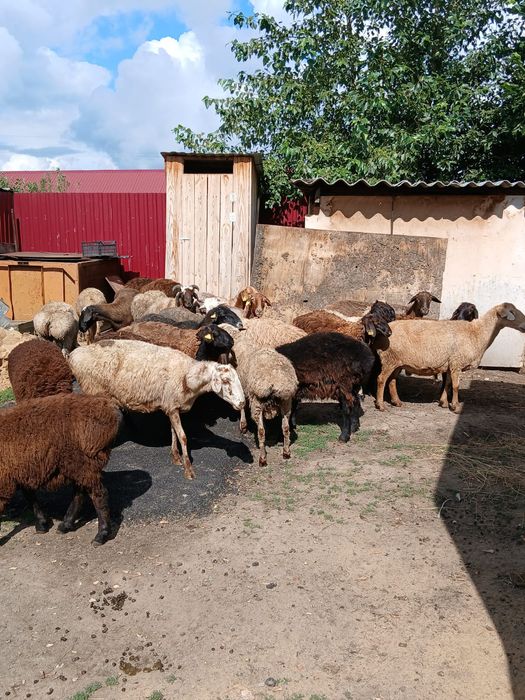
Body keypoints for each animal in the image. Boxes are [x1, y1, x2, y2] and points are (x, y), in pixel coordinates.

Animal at [0, 393, 122, 545]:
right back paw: (66, 524)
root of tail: (110, 409)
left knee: (99, 494)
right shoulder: (20, 471)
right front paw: (42, 523)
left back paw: (101, 534)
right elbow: (30, 496)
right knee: (79, 493)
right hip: (80, 465)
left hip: (82, 462)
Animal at [69, 340, 245, 480]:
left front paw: (176, 457)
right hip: (93, 391)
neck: (187, 376)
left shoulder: (171, 406)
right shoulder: (172, 406)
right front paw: (188, 470)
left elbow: (173, 432)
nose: (242, 403)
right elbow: (183, 437)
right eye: (225, 381)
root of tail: (74, 354)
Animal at [221, 323, 298, 467]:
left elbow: (241, 406)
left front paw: (243, 426)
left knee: (261, 431)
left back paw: (262, 458)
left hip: (257, 402)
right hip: (286, 402)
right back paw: (286, 452)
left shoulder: (241, 387)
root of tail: (275, 381)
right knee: (285, 427)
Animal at [374, 302, 525, 413]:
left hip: (397, 361)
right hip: (389, 359)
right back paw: (381, 405)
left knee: (392, 381)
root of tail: (386, 329)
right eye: (513, 312)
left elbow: (447, 384)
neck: (477, 333)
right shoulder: (457, 362)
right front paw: (456, 407)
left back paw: (397, 402)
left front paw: (444, 402)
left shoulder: (450, 365)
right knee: (381, 379)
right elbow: (456, 386)